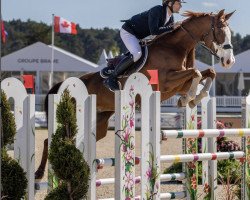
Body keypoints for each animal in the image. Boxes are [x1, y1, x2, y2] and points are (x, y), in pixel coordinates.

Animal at [34, 9, 234, 179]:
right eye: (220, 32)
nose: (229, 61)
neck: (175, 48)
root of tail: (63, 85)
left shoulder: (178, 85)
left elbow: (208, 73)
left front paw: (192, 99)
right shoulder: (167, 81)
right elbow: (197, 73)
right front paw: (189, 99)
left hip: (100, 121)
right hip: (72, 117)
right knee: (49, 140)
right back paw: (39, 173)